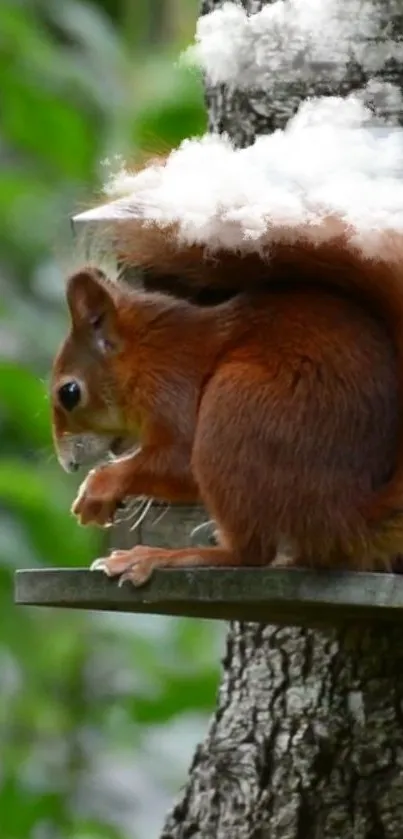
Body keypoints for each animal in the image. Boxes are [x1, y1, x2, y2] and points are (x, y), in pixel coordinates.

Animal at [50, 213, 403, 588]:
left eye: (69, 393)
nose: (67, 464)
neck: (147, 355)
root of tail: (348, 516)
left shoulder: (172, 386)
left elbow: (179, 462)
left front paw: (100, 486)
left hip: (234, 410)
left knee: (249, 554)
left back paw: (159, 557)